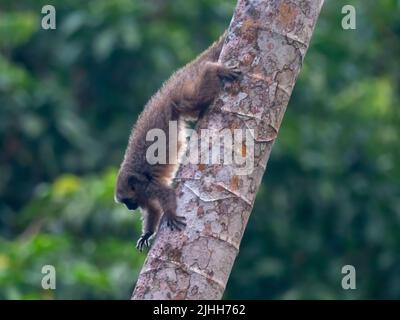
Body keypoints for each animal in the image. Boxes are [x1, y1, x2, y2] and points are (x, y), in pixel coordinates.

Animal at [114, 31, 242, 251]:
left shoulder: (148, 188)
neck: (135, 183)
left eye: (127, 201)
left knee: (190, 99)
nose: (130, 208)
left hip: (177, 95)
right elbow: (153, 211)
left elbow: (166, 195)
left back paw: (213, 69)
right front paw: (147, 233)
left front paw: (171, 215)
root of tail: (164, 92)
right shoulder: (144, 196)